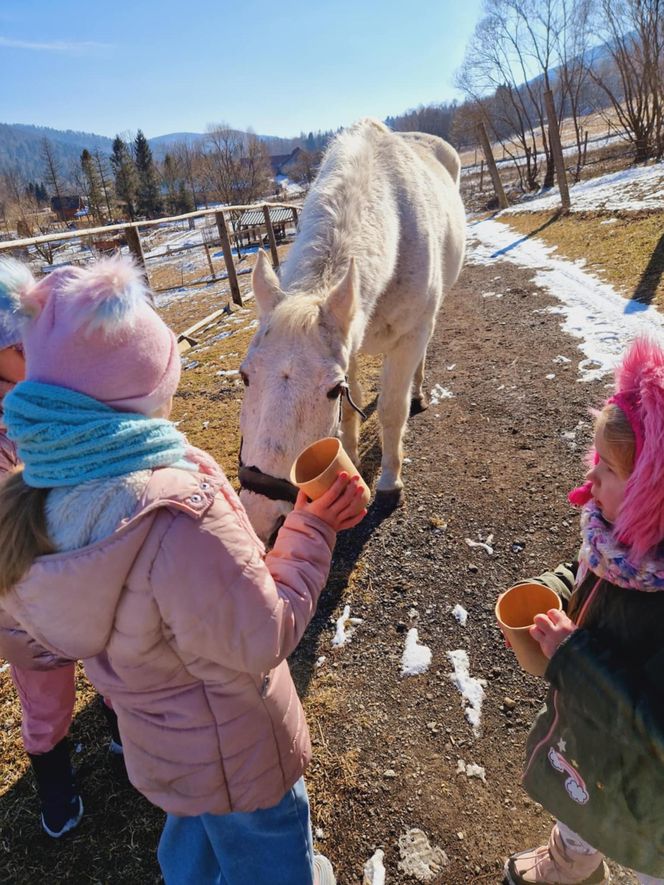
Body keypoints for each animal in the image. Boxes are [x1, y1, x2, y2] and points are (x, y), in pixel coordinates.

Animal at [237, 117, 462, 544]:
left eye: (330, 390)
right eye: (244, 377)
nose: (259, 516)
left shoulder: (408, 337)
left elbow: (391, 410)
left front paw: (390, 484)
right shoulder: (350, 346)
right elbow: (350, 412)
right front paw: (351, 460)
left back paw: (419, 392)